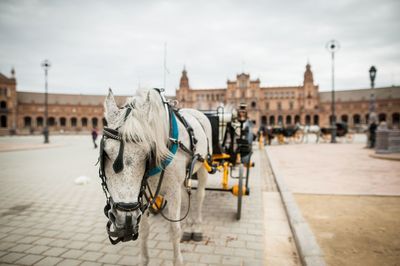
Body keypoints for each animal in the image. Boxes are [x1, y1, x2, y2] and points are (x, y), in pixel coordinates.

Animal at [100, 88, 212, 264]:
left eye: (147, 154)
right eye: (105, 153)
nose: (125, 221)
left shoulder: (172, 191)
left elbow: (174, 229)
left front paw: (178, 260)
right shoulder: (143, 193)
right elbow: (144, 229)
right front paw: (144, 259)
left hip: (203, 167)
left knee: (199, 196)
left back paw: (197, 228)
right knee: (186, 196)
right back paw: (189, 226)